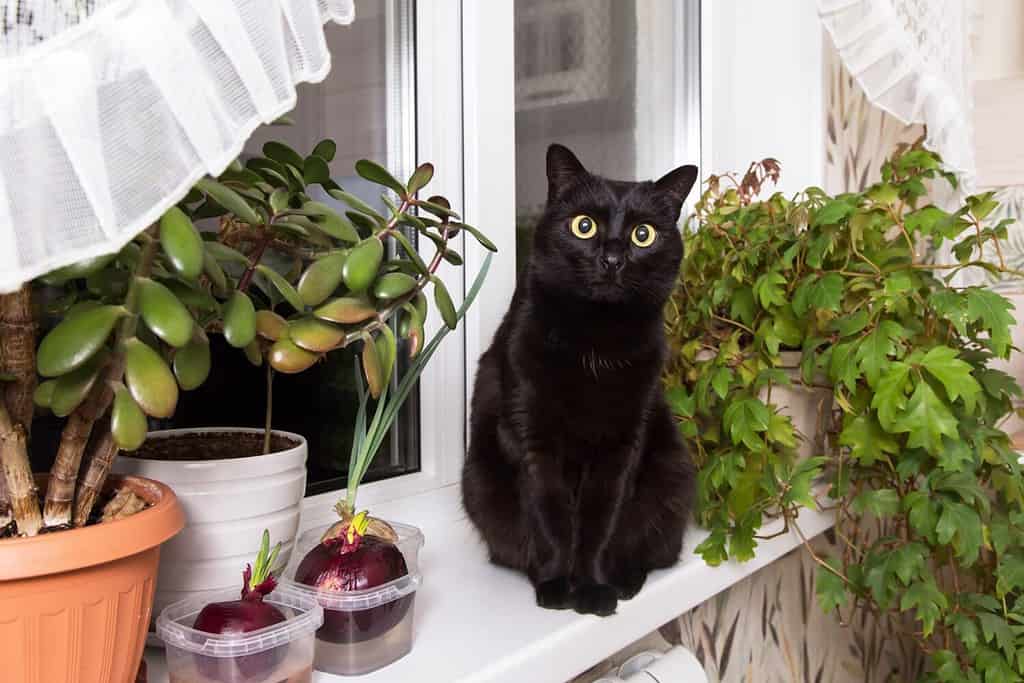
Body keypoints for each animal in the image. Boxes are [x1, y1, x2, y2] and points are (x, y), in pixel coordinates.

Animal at [462, 143, 696, 614]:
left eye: (643, 234)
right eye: (583, 226)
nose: (612, 259)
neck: (595, 343)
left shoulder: (623, 445)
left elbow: (600, 521)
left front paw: (593, 589)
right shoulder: (531, 437)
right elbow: (551, 518)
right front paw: (556, 586)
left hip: (673, 472)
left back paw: (625, 581)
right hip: (480, 484)